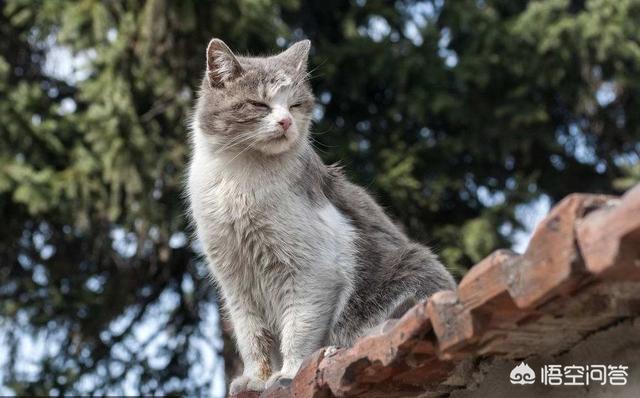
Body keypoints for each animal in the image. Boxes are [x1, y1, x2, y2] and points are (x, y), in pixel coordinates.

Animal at [185, 38, 456, 394]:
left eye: (296, 105)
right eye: (258, 104)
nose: (286, 122)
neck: (239, 178)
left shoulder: (311, 274)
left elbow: (297, 330)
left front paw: (287, 373)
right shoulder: (235, 282)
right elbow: (252, 338)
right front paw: (256, 379)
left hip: (413, 265)